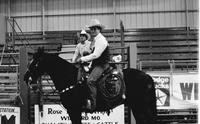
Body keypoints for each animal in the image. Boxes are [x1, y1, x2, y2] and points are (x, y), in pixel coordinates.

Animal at [24, 48, 157, 124]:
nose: (26, 78)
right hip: (138, 107)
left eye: (35, 63)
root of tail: (147, 75)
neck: (70, 79)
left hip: (142, 107)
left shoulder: (74, 110)